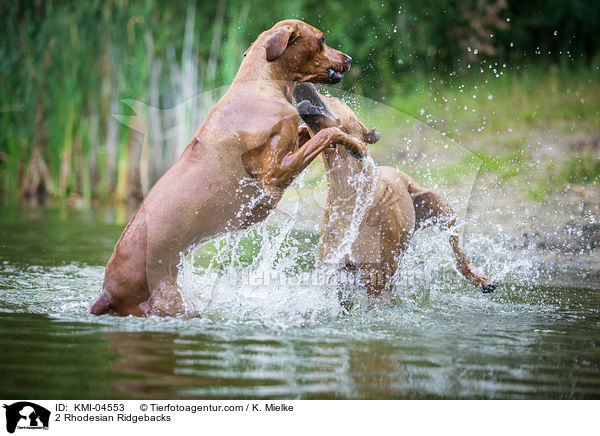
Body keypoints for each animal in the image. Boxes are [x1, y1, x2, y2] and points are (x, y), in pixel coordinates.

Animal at [88, 19, 366, 316]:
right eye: (322, 39)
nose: (350, 59)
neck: (261, 87)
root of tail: (107, 292)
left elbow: (311, 131)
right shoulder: (273, 176)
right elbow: (327, 134)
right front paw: (357, 146)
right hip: (169, 300)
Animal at [292, 83, 494, 308]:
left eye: (332, 97)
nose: (301, 83)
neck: (347, 192)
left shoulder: (378, 285)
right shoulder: (343, 279)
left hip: (440, 206)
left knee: (459, 255)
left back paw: (481, 279)